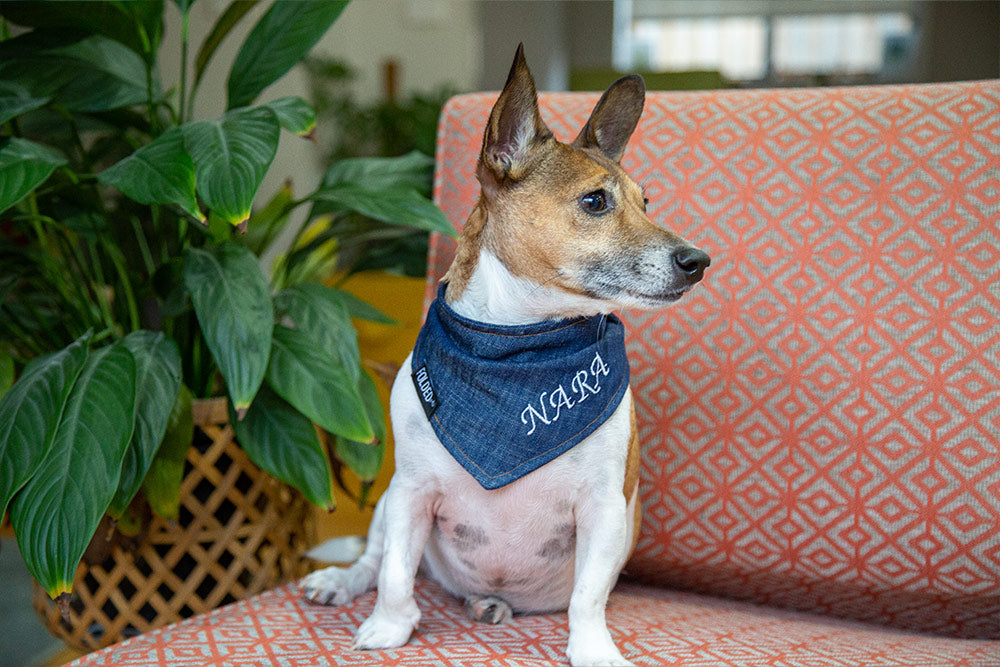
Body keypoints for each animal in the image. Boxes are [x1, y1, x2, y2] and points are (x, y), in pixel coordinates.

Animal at [300, 44, 708, 664]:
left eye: (645, 202)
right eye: (595, 201)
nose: (698, 261)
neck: (518, 347)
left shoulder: (605, 509)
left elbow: (588, 596)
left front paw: (593, 649)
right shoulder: (411, 491)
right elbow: (395, 572)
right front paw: (389, 628)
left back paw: (488, 604)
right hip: (387, 501)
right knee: (373, 559)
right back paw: (342, 582)